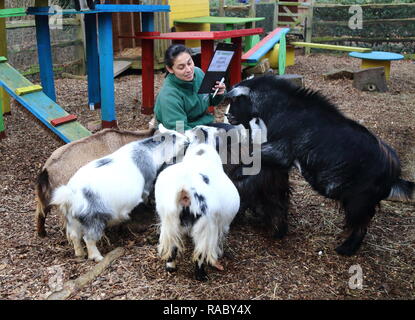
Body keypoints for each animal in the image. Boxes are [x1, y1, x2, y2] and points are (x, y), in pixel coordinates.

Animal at [49, 125, 189, 262]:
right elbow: (146, 195)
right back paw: (97, 257)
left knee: (74, 236)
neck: (150, 151)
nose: (187, 140)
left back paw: (79, 254)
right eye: (178, 138)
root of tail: (70, 196)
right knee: (88, 239)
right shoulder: (147, 183)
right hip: (94, 219)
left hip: (72, 220)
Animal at [155, 142, 240, 280]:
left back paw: (171, 267)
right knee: (200, 253)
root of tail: (185, 190)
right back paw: (201, 276)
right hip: (205, 227)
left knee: (172, 245)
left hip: (169, 221)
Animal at [226, 74, 414, 255]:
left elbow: (252, 154)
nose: (228, 116)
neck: (283, 109)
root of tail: (393, 172)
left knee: (362, 225)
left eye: (236, 100)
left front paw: (238, 173)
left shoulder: (281, 151)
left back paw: (346, 249)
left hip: (358, 200)